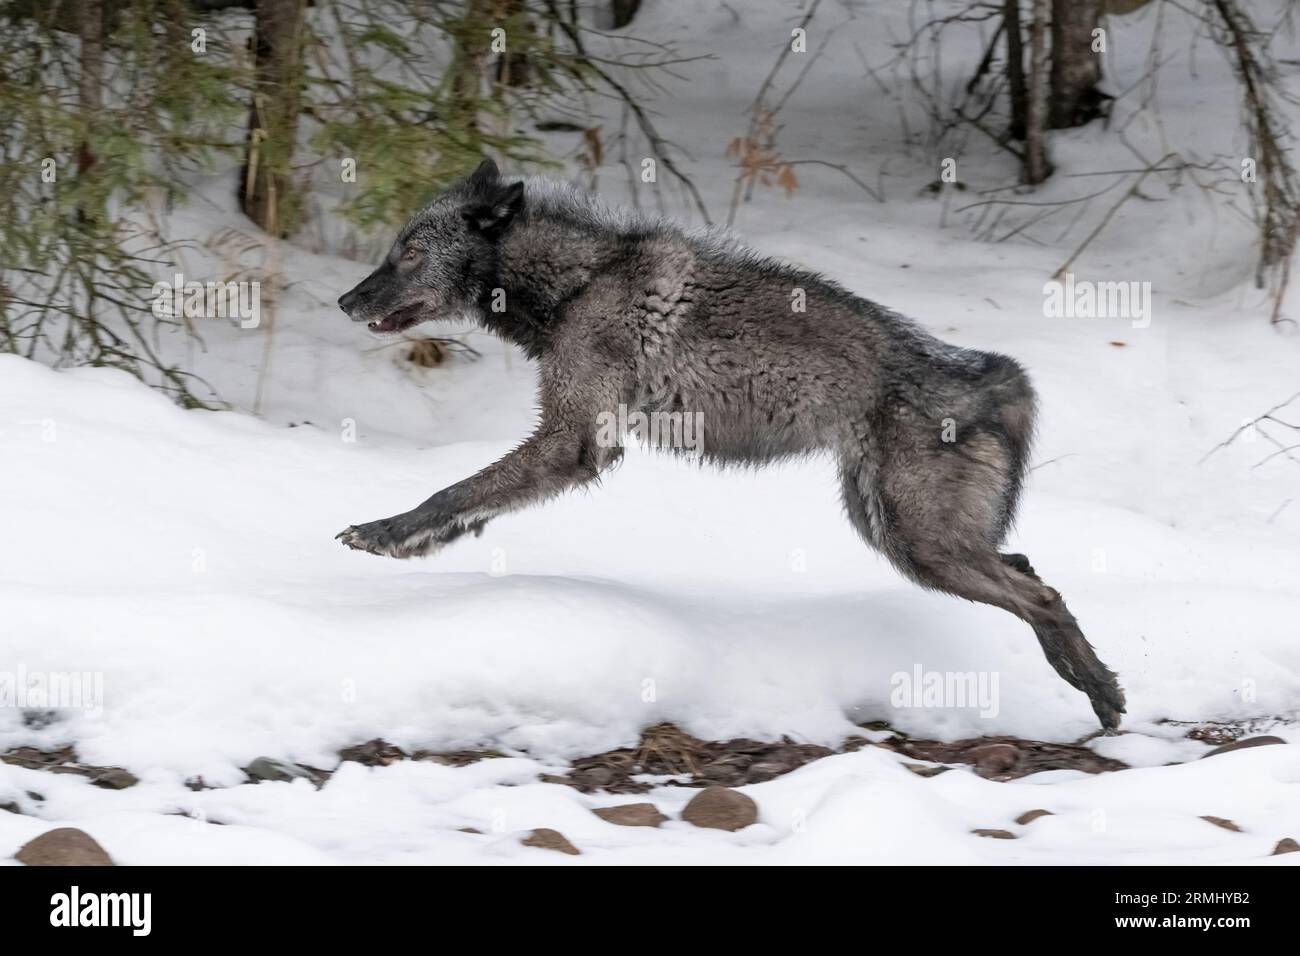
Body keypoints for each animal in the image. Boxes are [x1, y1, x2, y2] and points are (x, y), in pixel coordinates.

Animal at [336, 159, 1126, 730]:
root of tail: (987, 375)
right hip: (898, 531)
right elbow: (473, 501)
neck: (580, 282)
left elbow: (453, 488)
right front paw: (425, 545)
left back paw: (1100, 693)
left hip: (919, 543)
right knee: (1027, 569)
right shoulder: (570, 444)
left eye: (408, 253)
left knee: (1042, 593)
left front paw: (386, 532)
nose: (345, 300)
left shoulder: (571, 443)